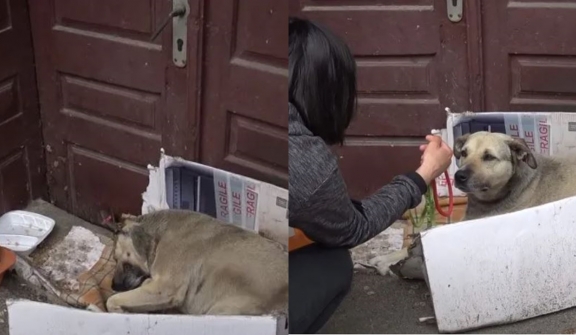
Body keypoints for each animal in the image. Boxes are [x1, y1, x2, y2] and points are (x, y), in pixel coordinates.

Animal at [90, 210, 288, 318]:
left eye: (123, 261)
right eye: (114, 260)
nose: (113, 285)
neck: (157, 237)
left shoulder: (166, 287)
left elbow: (112, 301)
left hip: (222, 310)